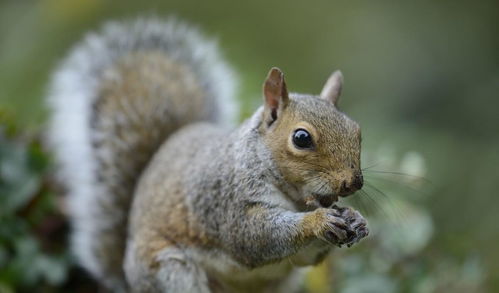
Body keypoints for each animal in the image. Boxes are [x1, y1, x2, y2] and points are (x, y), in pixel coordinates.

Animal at [47, 18, 370, 292]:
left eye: (356, 130)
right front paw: (318, 221)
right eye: (301, 138)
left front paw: (356, 219)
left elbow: (305, 257)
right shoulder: (224, 200)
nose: (352, 182)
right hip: (171, 272)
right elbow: (255, 237)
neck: (295, 197)